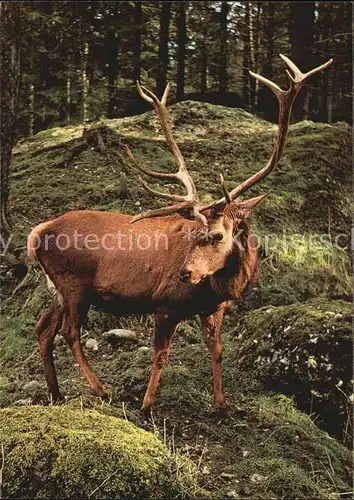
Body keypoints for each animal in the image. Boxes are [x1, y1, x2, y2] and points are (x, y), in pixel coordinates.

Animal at [27, 56, 332, 412]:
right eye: (196, 232)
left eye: (217, 235)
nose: (185, 273)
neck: (218, 288)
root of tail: (37, 233)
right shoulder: (165, 303)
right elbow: (161, 354)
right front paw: (147, 404)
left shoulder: (214, 308)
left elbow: (217, 350)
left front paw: (222, 404)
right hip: (74, 284)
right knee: (69, 332)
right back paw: (100, 390)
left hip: (57, 289)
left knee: (43, 328)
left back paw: (56, 392)